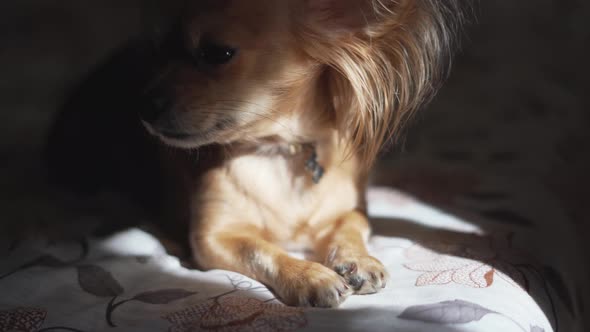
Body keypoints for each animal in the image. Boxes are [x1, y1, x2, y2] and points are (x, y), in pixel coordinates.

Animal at [46, 0, 464, 308]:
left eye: (217, 53)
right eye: (159, 53)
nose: (144, 106)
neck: (280, 150)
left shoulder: (350, 209)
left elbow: (352, 225)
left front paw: (357, 260)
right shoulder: (214, 237)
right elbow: (263, 249)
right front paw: (310, 275)